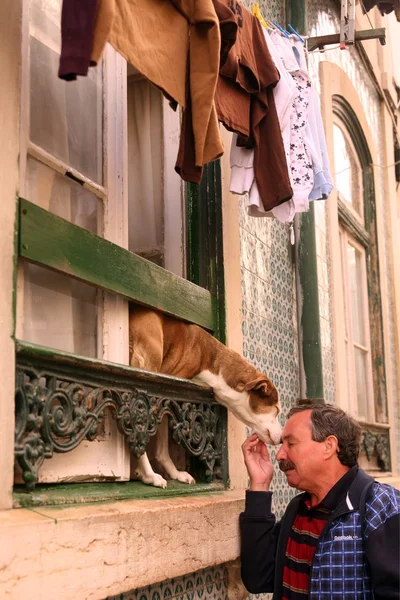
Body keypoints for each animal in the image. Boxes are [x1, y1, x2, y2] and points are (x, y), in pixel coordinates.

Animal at [129, 304, 282, 488]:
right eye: (276, 409)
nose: (282, 439)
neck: (209, 357)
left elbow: (162, 445)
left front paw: (175, 473)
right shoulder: (162, 393)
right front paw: (147, 474)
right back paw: (150, 474)